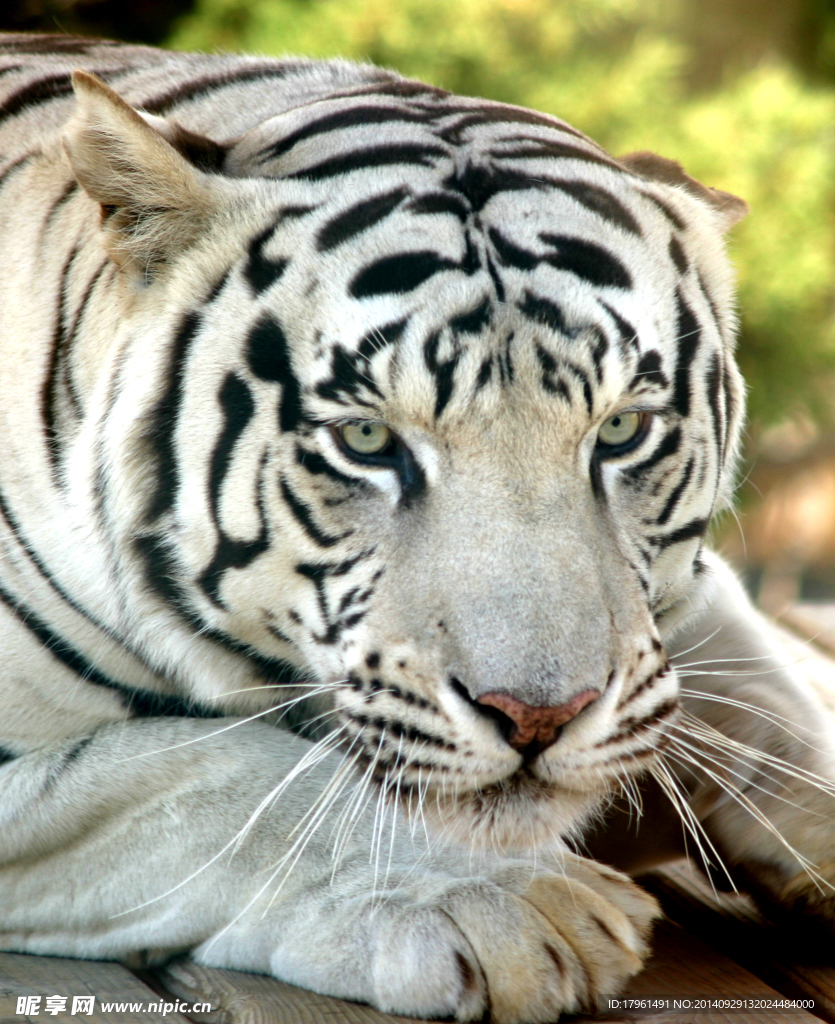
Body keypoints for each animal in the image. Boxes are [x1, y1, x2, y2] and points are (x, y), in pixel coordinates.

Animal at [0, 34, 831, 1024]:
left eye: (622, 430)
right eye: (366, 439)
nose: (538, 718)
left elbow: (770, 699)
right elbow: (201, 775)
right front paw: (509, 902)